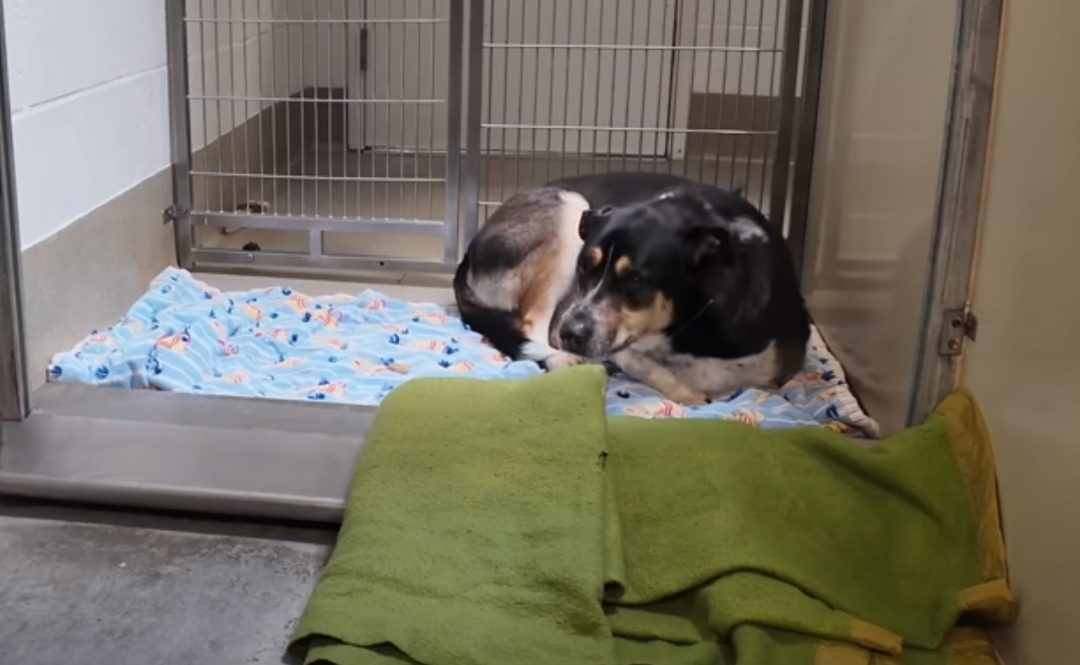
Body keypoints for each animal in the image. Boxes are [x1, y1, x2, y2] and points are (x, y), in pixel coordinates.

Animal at [451, 172, 807, 405]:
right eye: (585, 267)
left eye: (635, 279)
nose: (571, 334)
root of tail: (467, 256)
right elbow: (651, 368)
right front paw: (686, 393)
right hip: (567, 211)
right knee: (532, 323)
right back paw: (559, 358)